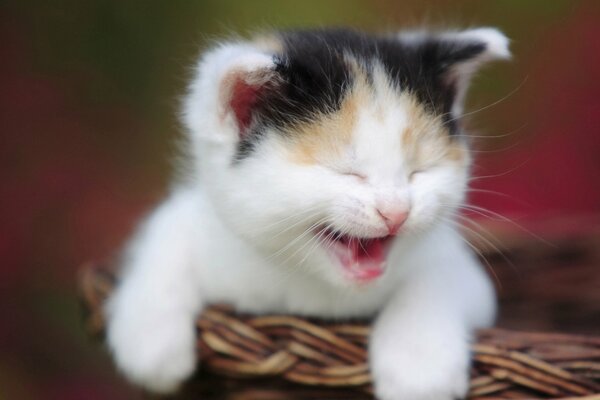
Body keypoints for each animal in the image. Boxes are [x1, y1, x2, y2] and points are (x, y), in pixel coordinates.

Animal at [105, 26, 508, 398]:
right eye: (346, 172)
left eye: (419, 171)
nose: (396, 212)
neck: (313, 288)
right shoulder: (207, 221)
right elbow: (168, 231)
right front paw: (150, 344)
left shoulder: (460, 268)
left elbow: (436, 280)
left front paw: (420, 368)